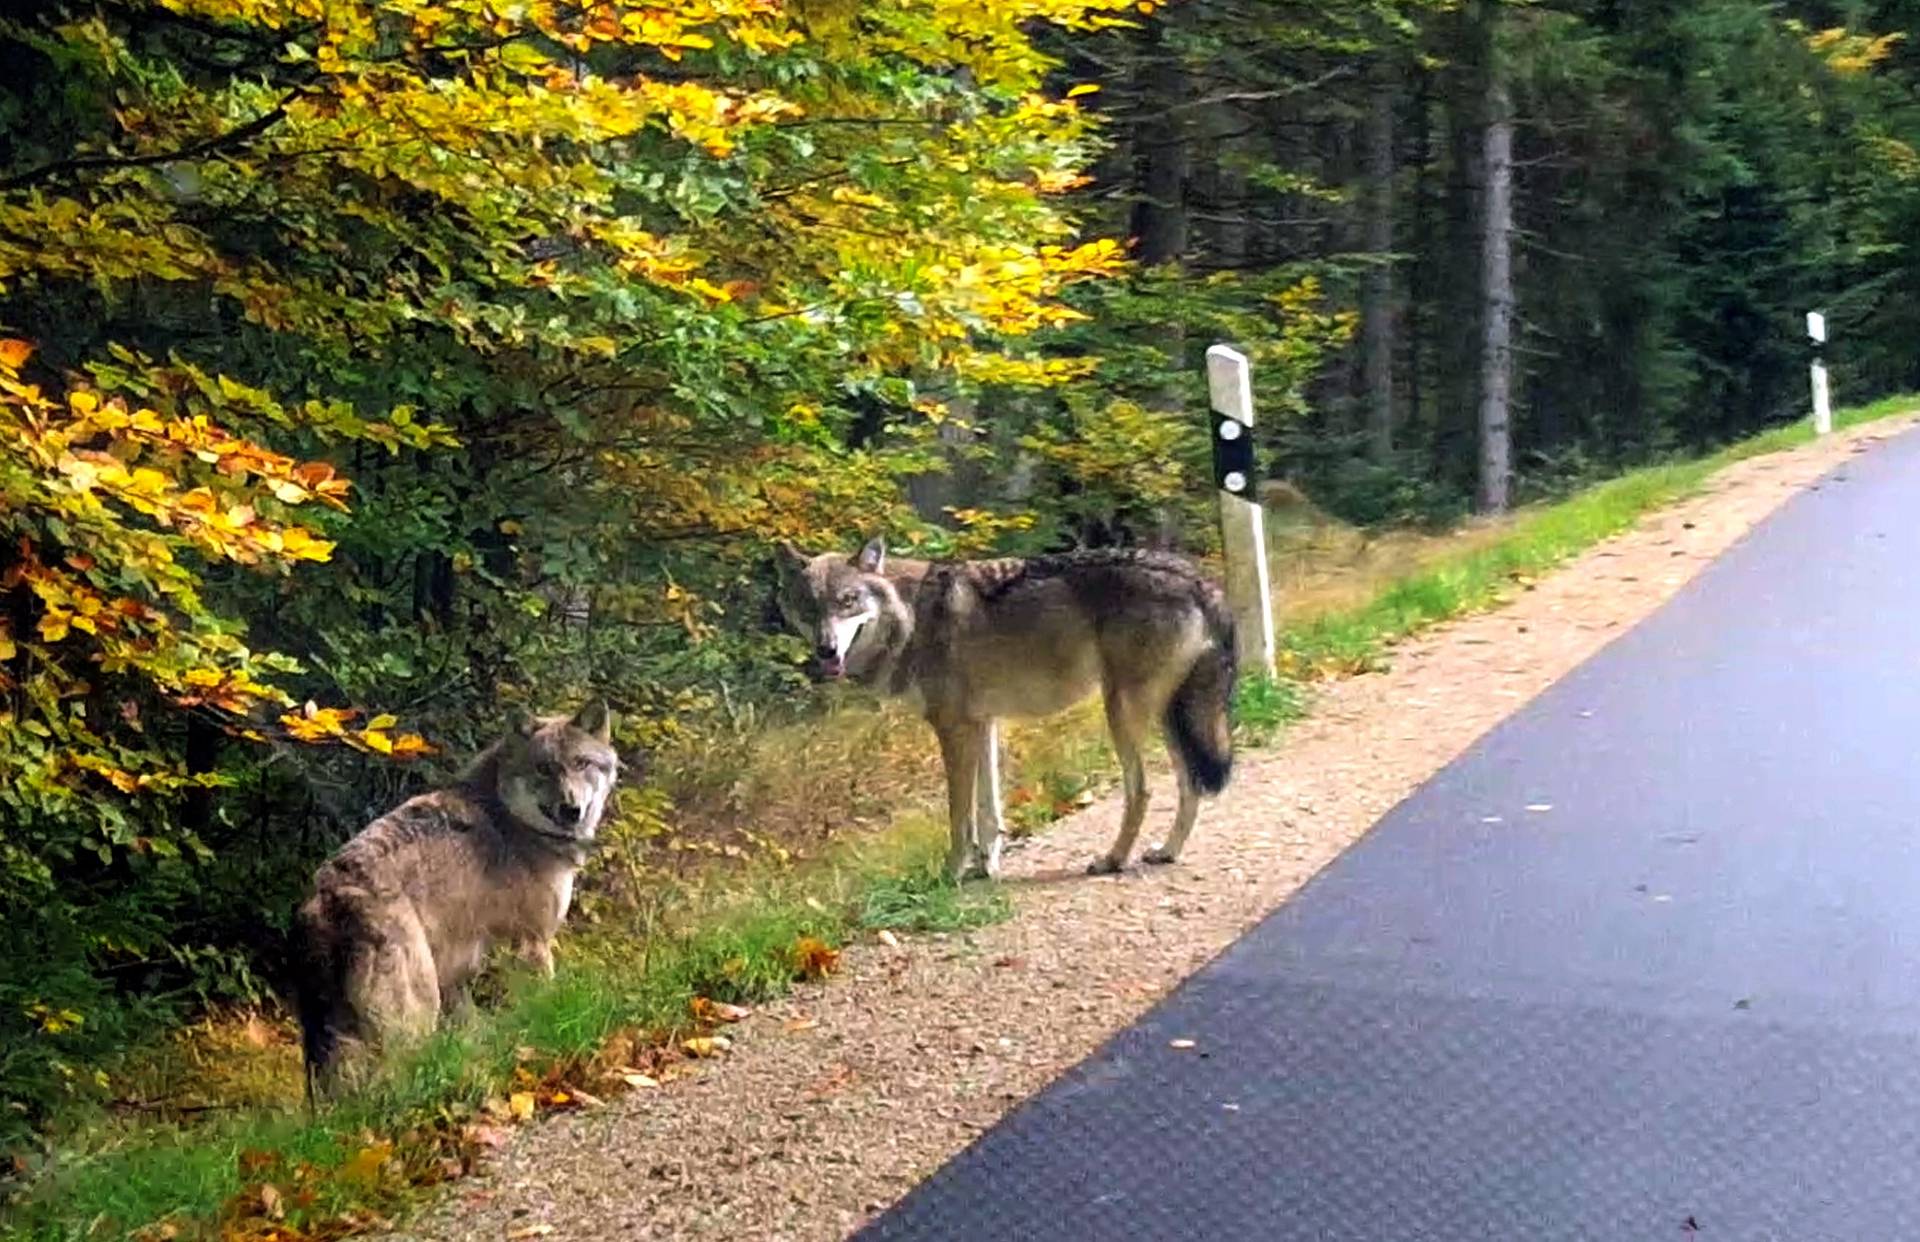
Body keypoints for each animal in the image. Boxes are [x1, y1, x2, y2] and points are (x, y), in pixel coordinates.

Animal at [289, 706, 614, 1105]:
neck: (512, 819)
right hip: (414, 1014)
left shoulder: (458, 976)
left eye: (581, 763)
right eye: (543, 768)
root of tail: (328, 899)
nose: (571, 810)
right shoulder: (532, 944)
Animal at [771, 537, 1236, 879]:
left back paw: (1112, 860)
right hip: (1167, 716)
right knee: (1190, 784)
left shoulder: (953, 729)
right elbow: (988, 812)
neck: (910, 618)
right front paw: (988, 868)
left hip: (1123, 713)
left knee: (1143, 790)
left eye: (848, 600)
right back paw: (1166, 852)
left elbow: (960, 818)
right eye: (811, 606)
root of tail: (1199, 579)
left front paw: (952, 874)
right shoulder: (982, 725)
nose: (825, 649)